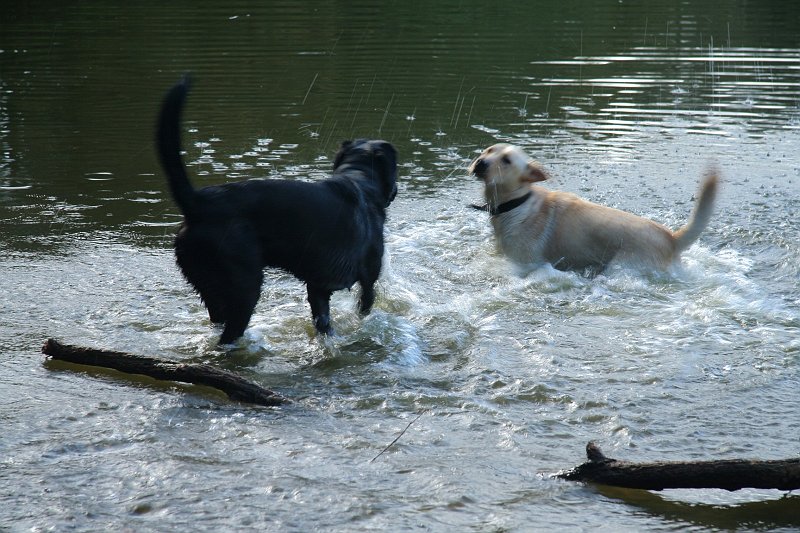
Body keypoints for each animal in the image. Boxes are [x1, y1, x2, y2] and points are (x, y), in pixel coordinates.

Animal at [155, 79, 396, 344]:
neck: (359, 178)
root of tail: (199, 202)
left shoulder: (318, 286)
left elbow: (322, 321)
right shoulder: (368, 278)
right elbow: (365, 306)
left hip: (208, 286)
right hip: (244, 285)